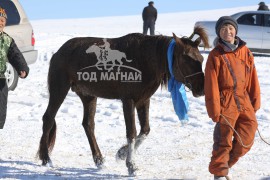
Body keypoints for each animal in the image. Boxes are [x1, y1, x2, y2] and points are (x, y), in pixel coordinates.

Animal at [37, 26, 209, 175]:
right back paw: (46, 158)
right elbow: (131, 132)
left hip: (88, 96)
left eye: (201, 58)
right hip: (60, 89)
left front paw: (121, 153)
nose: (201, 88)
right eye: (187, 59)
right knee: (48, 118)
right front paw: (131, 165)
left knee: (88, 125)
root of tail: (58, 53)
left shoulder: (143, 100)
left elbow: (145, 130)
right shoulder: (128, 100)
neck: (144, 59)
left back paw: (99, 159)